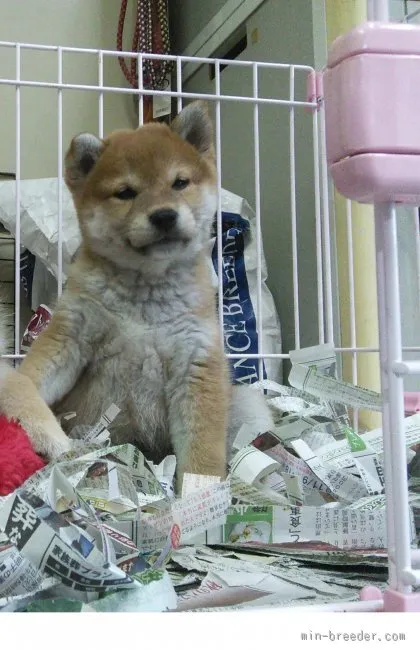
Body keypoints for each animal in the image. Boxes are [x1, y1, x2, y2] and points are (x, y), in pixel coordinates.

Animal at [3, 101, 274, 486]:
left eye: (179, 183)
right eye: (125, 192)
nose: (164, 216)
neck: (145, 295)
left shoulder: (196, 362)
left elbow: (202, 459)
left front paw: (199, 496)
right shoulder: (69, 338)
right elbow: (24, 386)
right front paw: (44, 432)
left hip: (248, 405)